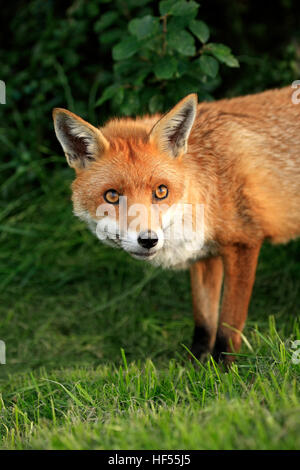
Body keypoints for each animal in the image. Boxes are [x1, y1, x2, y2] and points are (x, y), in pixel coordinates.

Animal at [52, 86, 300, 366]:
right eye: (112, 196)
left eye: (161, 191)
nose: (148, 240)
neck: (209, 187)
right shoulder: (205, 257)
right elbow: (204, 321)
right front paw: (197, 365)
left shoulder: (244, 243)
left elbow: (228, 326)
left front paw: (225, 369)